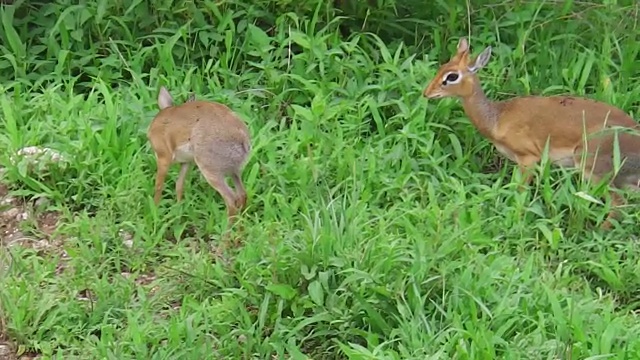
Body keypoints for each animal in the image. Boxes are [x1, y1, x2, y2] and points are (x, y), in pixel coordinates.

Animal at [148, 87, 252, 226]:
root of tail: (242, 137)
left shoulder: (163, 157)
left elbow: (159, 186)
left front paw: (155, 212)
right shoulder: (186, 162)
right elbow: (179, 185)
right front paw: (178, 214)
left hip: (210, 170)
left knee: (231, 199)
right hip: (234, 171)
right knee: (242, 195)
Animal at [420, 36, 640, 228]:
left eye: (452, 76)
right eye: (441, 68)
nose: (426, 93)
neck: (497, 118)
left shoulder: (529, 159)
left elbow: (520, 193)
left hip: (591, 166)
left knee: (619, 205)